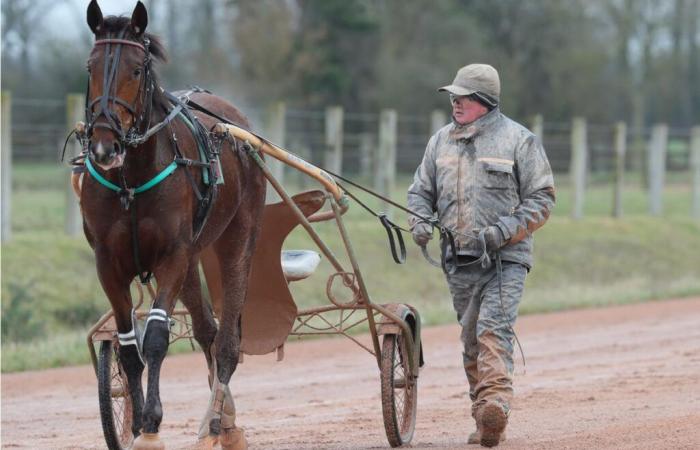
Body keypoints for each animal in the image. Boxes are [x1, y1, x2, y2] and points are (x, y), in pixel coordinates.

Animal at [78, 1, 266, 448]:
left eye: (136, 69)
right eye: (91, 67)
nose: (104, 144)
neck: (130, 181)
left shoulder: (172, 256)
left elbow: (157, 339)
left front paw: (151, 425)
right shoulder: (108, 264)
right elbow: (129, 348)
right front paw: (136, 427)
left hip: (237, 237)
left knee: (227, 343)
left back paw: (217, 425)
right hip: (193, 260)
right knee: (208, 332)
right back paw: (224, 420)